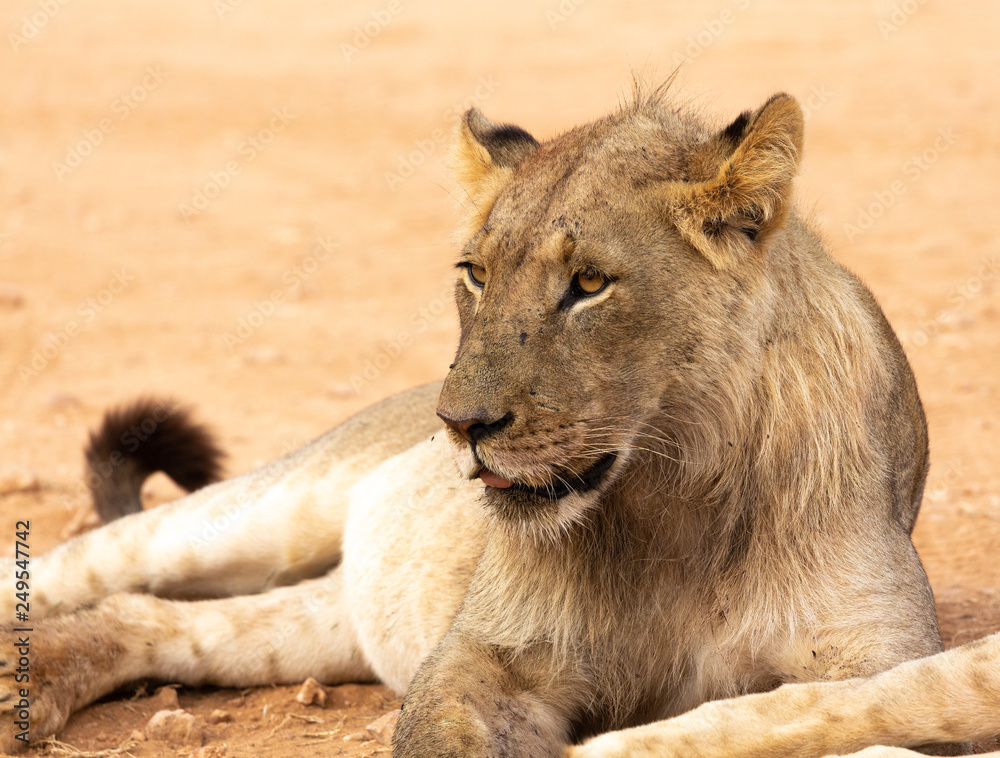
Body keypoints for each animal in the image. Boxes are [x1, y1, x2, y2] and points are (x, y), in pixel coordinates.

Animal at [0, 88, 982, 755]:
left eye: (589, 282)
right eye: (475, 272)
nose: (459, 423)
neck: (676, 494)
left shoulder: (873, 658)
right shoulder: (486, 651)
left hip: (336, 618)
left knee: (156, 621)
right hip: (264, 510)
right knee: (87, 566)